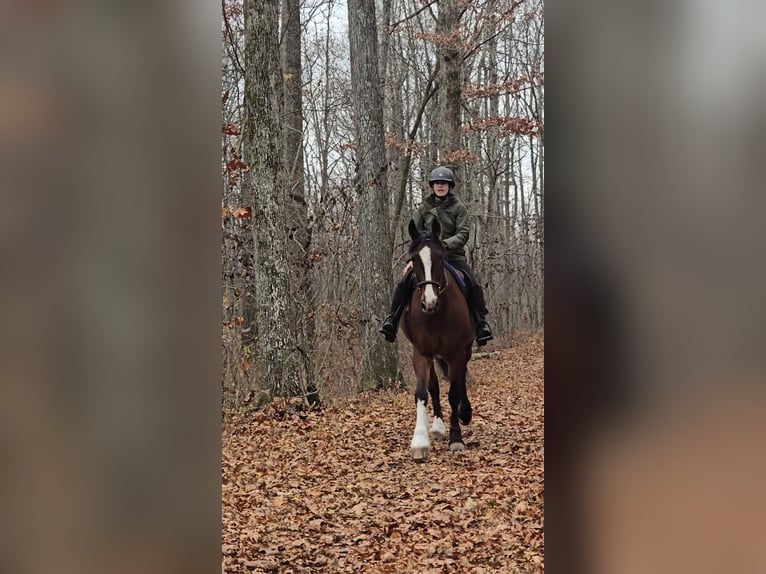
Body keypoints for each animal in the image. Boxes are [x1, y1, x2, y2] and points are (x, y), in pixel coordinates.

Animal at [401, 219, 474, 461]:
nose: (429, 302)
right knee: (433, 385)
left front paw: (456, 438)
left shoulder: (457, 353)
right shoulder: (421, 352)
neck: (436, 315)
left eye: (441, 257)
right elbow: (423, 391)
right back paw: (438, 426)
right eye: (413, 259)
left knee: (461, 380)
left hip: (465, 351)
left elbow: (454, 392)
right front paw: (420, 441)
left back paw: (465, 413)